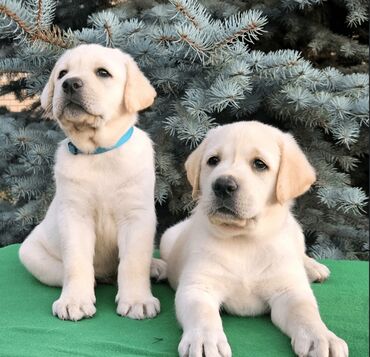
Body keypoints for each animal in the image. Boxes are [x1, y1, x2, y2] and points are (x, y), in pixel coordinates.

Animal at [19, 43, 160, 320]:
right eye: (62, 73)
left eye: (103, 73)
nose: (70, 84)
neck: (99, 153)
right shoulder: (75, 216)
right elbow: (76, 262)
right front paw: (75, 301)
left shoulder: (137, 216)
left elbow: (134, 262)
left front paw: (137, 300)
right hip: (32, 254)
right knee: (72, 271)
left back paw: (156, 267)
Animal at [159, 120, 346, 356]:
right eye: (213, 161)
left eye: (259, 164)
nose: (222, 185)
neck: (243, 239)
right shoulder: (198, 286)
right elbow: (201, 313)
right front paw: (203, 340)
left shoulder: (289, 291)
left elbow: (305, 312)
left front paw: (322, 338)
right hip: (167, 238)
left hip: (296, 232)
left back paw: (314, 268)